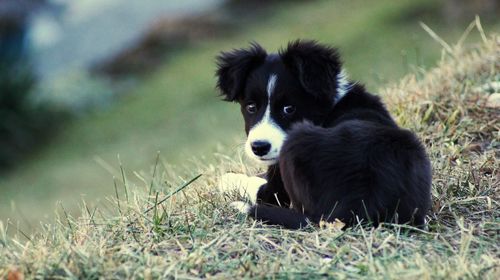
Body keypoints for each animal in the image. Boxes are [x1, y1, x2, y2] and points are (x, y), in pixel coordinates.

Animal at [217, 40, 432, 229]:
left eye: (289, 109)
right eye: (251, 107)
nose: (259, 147)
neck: (330, 106)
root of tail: (358, 204)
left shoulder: (275, 191)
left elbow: (253, 182)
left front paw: (226, 179)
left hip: (296, 141)